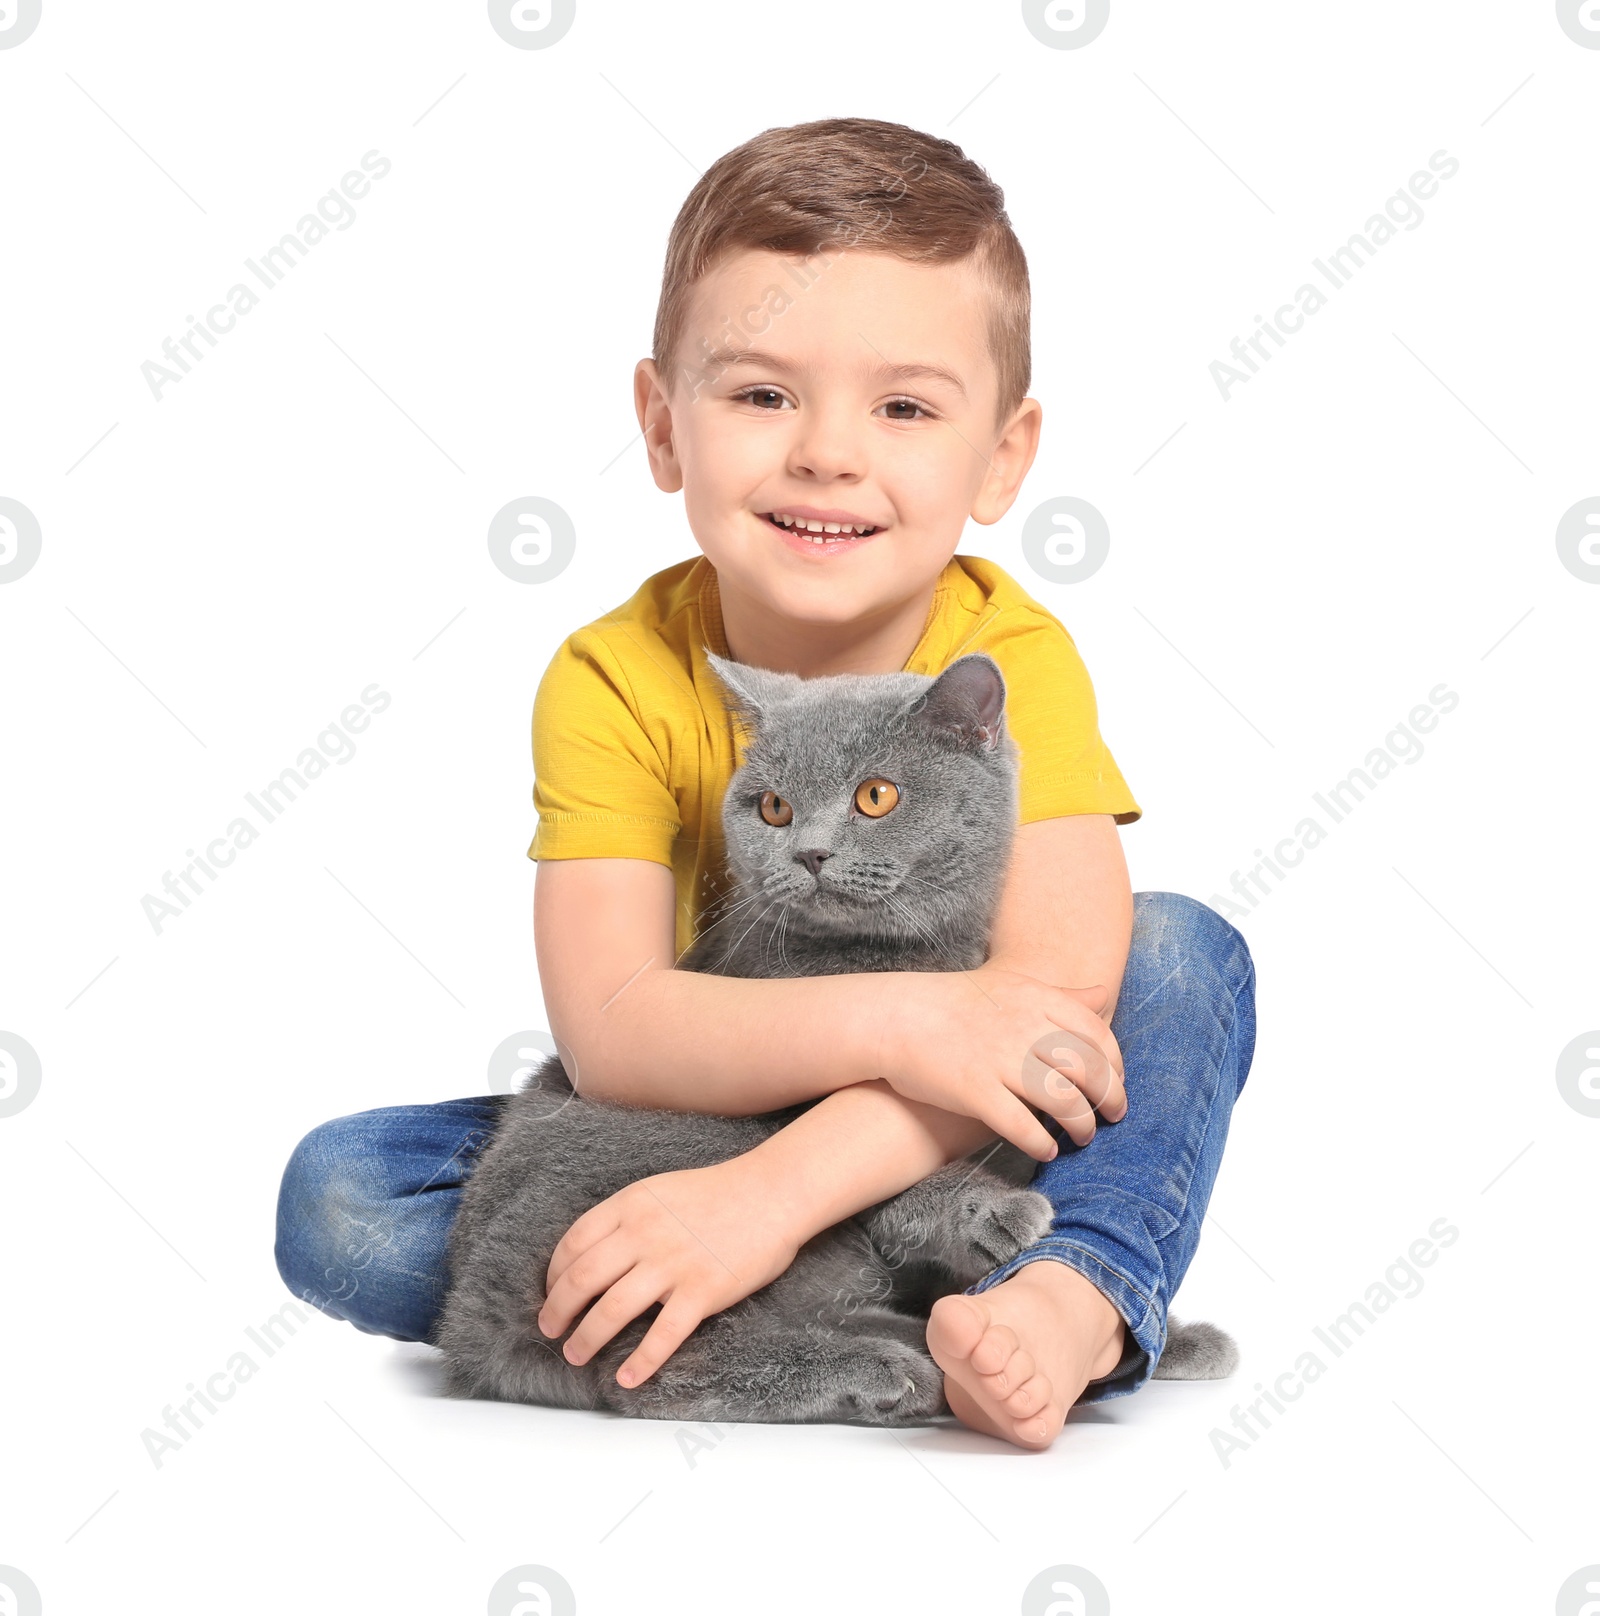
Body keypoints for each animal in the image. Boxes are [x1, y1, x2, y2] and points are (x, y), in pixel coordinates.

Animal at [439, 649, 1241, 1422]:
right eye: (774, 808)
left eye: (875, 796)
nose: (810, 853)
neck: (893, 961)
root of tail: (464, 1313)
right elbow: (867, 1144)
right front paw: (983, 1211)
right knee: (647, 1367)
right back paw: (885, 1373)